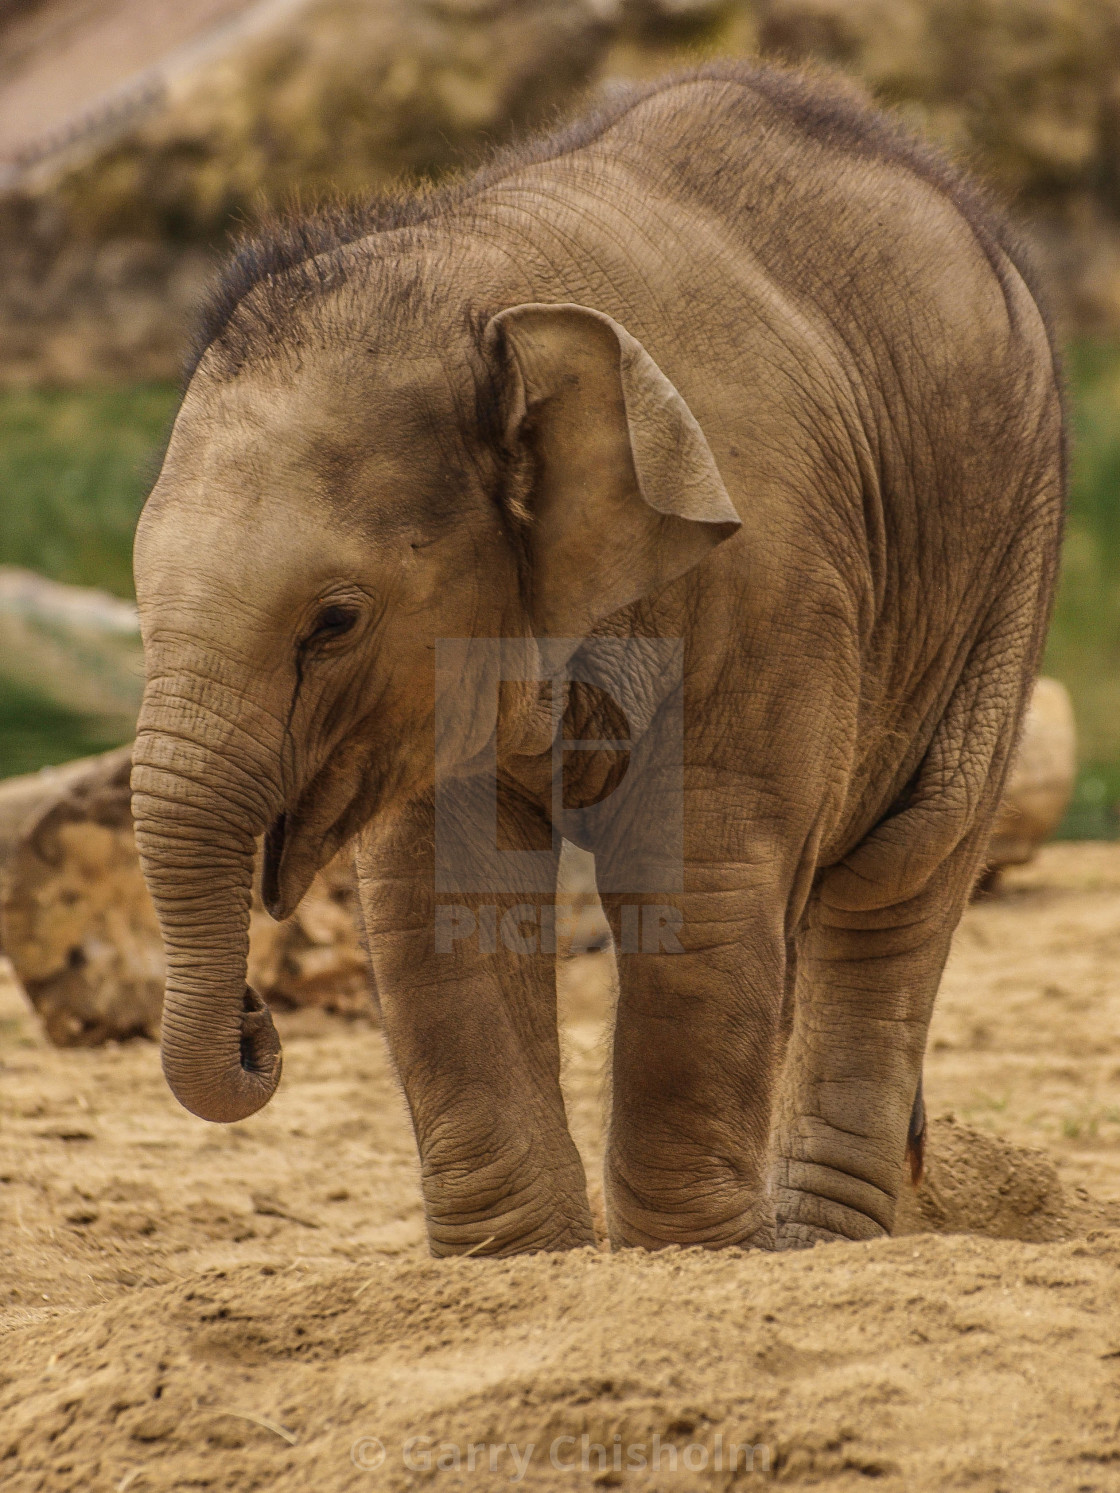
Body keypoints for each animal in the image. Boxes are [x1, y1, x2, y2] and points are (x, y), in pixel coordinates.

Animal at [131, 67, 1063, 1260]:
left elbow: (700, 873)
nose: (256, 1022)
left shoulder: (773, 574)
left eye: (335, 621)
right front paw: (522, 1261)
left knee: (904, 867)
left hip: (1010, 559)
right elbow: (445, 895)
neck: (488, 284)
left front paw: (694, 1258)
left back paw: (816, 1242)